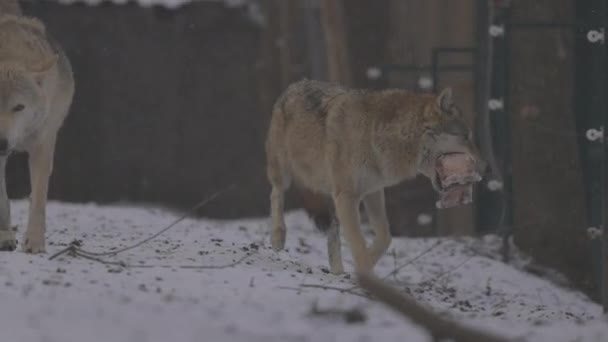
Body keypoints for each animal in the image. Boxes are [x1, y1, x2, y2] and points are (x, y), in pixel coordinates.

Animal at [0, 1, 75, 252]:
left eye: (19, 107)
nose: (0, 142)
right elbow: (2, 199)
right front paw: (5, 236)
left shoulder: (44, 144)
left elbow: (39, 197)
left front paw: (33, 243)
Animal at [266, 79, 484, 274]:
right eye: (466, 137)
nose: (486, 167)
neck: (377, 135)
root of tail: (293, 86)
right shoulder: (347, 197)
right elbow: (359, 245)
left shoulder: (373, 191)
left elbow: (384, 238)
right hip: (284, 174)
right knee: (276, 194)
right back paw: (278, 237)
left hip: (333, 200)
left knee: (332, 236)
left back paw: (338, 272)